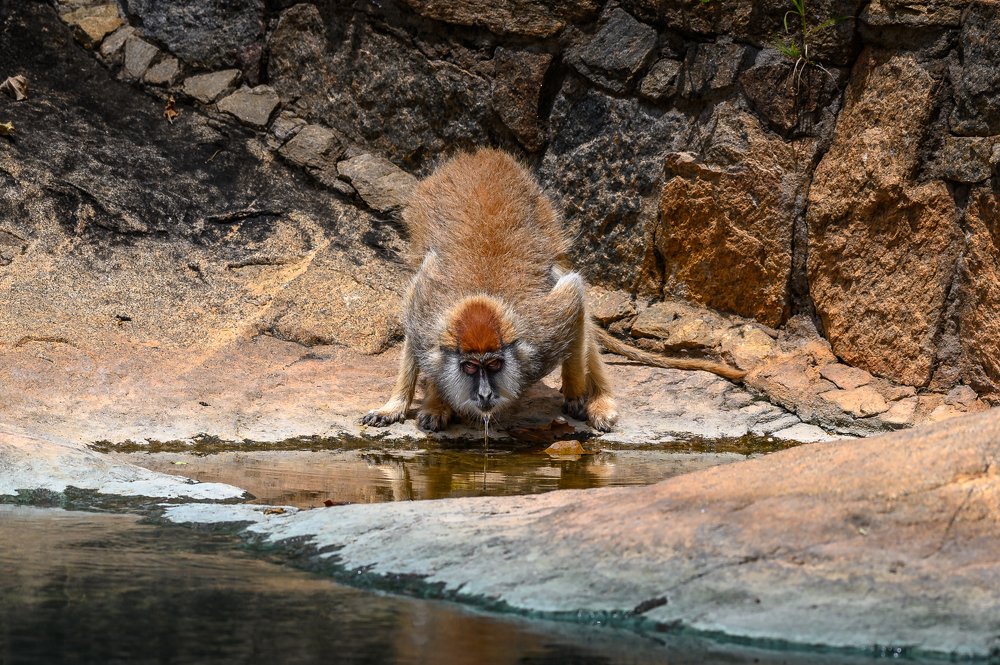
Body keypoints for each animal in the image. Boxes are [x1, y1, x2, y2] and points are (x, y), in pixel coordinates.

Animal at [361, 148, 745, 433]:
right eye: (470, 368)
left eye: (495, 364)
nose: (484, 393)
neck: (483, 297)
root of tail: (482, 156)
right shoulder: (425, 318)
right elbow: (416, 317)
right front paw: (410, 404)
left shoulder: (543, 334)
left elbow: (573, 298)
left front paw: (576, 391)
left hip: (545, 219)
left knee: (567, 288)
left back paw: (598, 400)